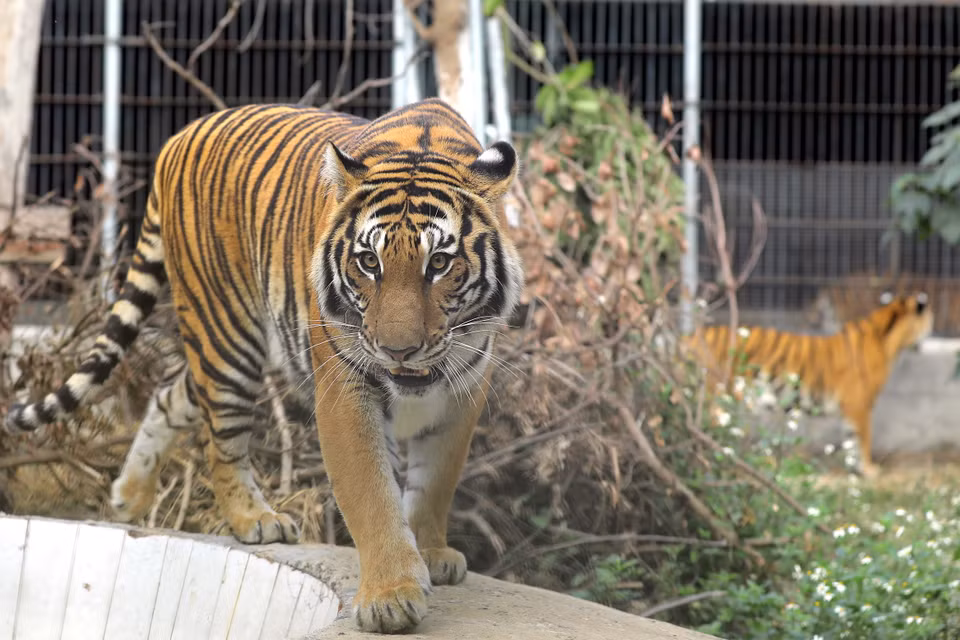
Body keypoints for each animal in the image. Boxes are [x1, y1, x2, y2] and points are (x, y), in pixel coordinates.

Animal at [4, 97, 523, 634]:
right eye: (369, 262)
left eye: (439, 263)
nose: (397, 350)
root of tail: (178, 136)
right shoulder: (345, 390)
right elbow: (371, 493)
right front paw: (391, 597)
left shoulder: (464, 391)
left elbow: (436, 482)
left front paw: (432, 551)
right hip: (227, 337)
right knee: (221, 442)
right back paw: (254, 519)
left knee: (171, 395)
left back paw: (129, 494)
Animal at [687, 292, 933, 477]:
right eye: (930, 322)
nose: (927, 339)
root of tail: (688, 337)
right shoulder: (859, 404)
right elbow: (863, 439)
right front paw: (868, 470)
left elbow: (851, 439)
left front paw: (856, 469)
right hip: (717, 394)